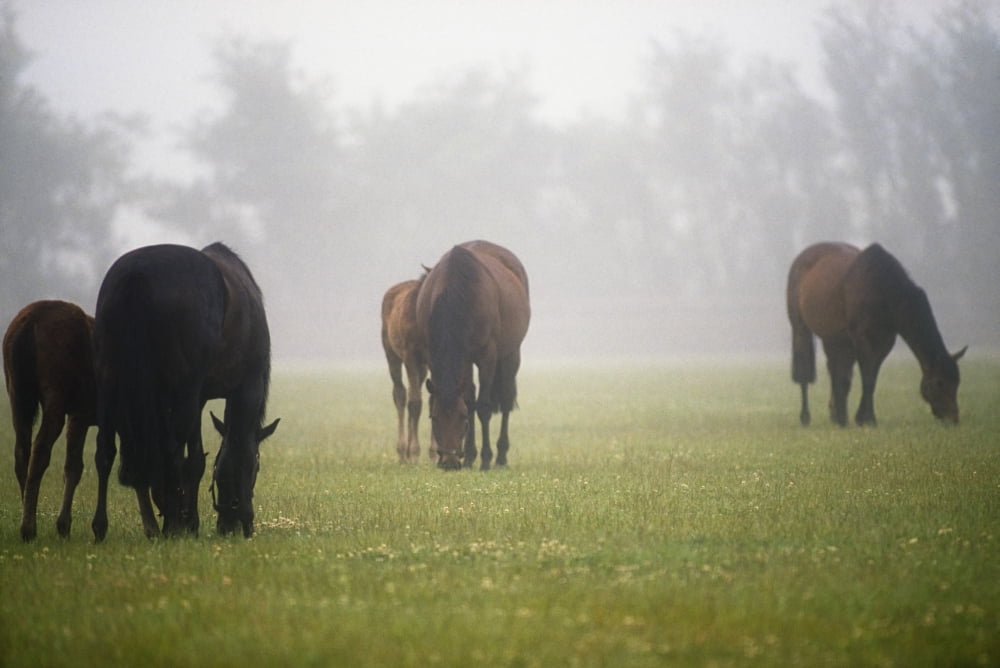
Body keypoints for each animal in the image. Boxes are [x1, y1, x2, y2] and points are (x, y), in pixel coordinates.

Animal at [3, 301, 97, 541]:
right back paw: (28, 528)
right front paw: (64, 525)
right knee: (40, 450)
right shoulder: (80, 413)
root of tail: (28, 323)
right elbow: (74, 467)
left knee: (21, 452)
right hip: (56, 394)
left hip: (17, 394)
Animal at [91, 242, 278, 541]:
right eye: (259, 467)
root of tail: (135, 276)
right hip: (183, 391)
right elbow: (235, 450)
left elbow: (196, 460)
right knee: (170, 451)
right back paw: (171, 524)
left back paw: (102, 526)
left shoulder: (196, 398)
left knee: (106, 450)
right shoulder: (245, 388)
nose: (228, 525)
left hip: (110, 383)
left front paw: (191, 520)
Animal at [381, 277, 436, 464]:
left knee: (414, 390)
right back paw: (403, 453)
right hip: (392, 353)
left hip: (423, 367)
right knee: (401, 394)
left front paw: (436, 454)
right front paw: (414, 454)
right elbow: (415, 402)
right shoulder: (410, 355)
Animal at [416, 240, 530, 470]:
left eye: (463, 419)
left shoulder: (487, 356)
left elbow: (483, 407)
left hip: (511, 354)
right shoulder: (440, 356)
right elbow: (469, 400)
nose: (450, 461)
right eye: (434, 418)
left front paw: (485, 459)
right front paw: (468, 457)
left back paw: (500, 458)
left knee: (505, 400)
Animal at [787, 241, 965, 427]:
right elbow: (868, 378)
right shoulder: (861, 339)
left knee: (837, 372)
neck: (880, 287)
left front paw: (861, 418)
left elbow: (872, 376)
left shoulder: (884, 342)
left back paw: (838, 416)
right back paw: (806, 417)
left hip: (835, 339)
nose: (953, 418)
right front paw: (869, 419)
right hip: (801, 329)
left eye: (957, 381)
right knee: (805, 372)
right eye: (939, 383)